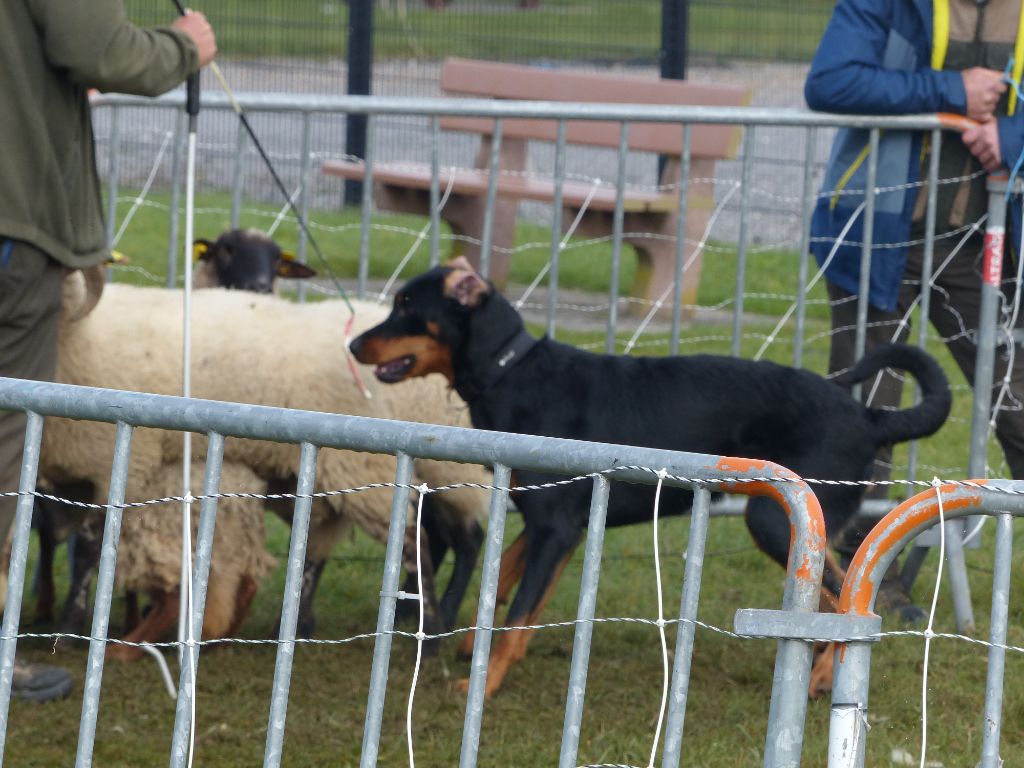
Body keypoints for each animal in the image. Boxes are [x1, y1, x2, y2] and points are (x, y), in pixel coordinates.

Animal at [352, 259, 950, 696]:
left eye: (407, 306)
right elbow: (502, 581)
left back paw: (821, 679)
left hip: (778, 522)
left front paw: (483, 685)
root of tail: (868, 416)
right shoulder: (553, 526)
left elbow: (521, 612)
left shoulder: (556, 529)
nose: (355, 345)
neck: (513, 373)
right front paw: (468, 646)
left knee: (846, 595)